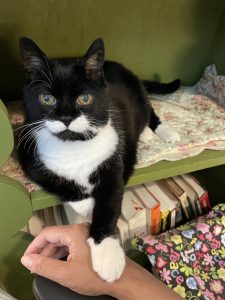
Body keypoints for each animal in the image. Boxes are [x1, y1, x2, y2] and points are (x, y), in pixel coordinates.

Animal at [18, 37, 181, 282]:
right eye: (46, 98)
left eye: (85, 98)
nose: (66, 117)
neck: (73, 145)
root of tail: (113, 64)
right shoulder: (27, 151)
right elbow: (53, 179)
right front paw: (84, 203)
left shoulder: (114, 165)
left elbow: (109, 203)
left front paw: (107, 254)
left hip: (137, 92)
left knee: (148, 109)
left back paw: (161, 132)